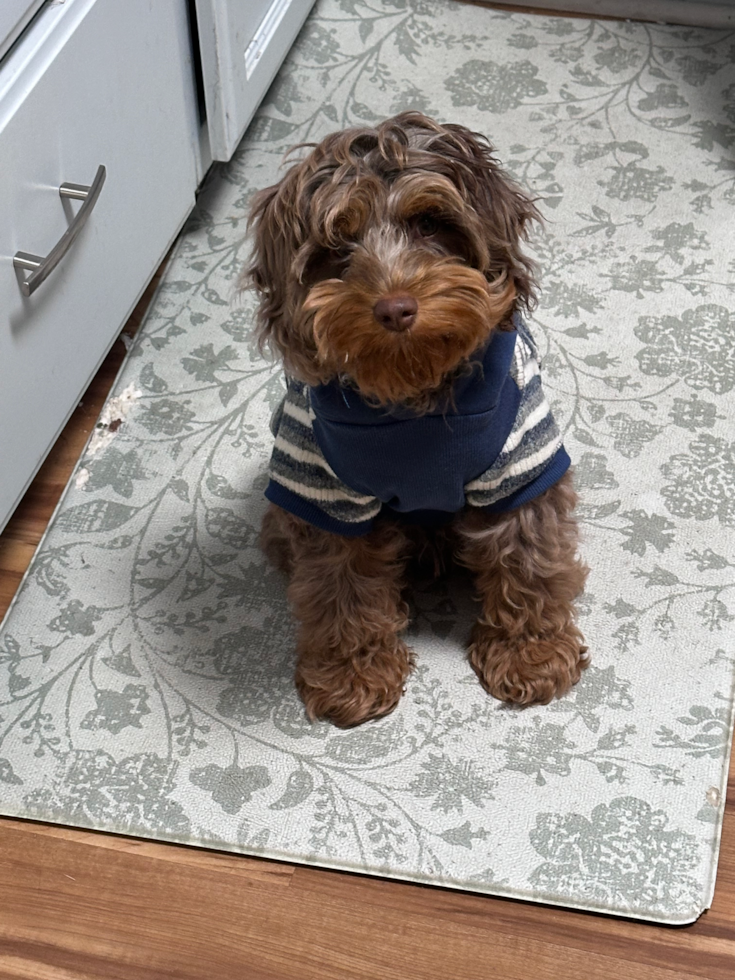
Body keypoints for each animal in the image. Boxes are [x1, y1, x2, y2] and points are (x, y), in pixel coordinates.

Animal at [246, 112, 588, 728]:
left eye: (429, 223)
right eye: (338, 245)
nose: (395, 308)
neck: (413, 397)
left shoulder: (519, 468)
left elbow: (528, 562)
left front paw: (531, 654)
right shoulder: (329, 497)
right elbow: (342, 590)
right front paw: (353, 675)